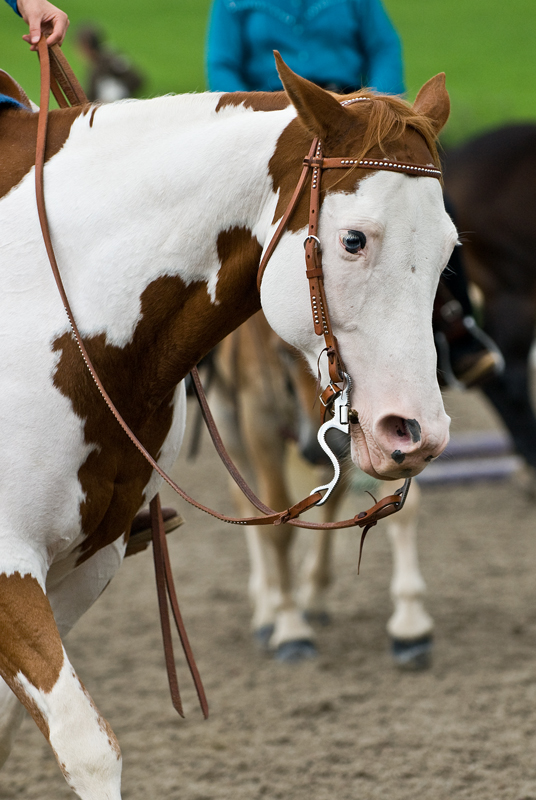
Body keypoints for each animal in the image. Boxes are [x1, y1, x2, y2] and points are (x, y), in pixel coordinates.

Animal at [208, 312, 432, 668]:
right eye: (284, 354)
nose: (333, 442)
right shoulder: (258, 417)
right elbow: (278, 524)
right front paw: (290, 627)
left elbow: (401, 508)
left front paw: (410, 624)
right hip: (227, 420)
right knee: (244, 502)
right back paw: (267, 609)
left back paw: (313, 595)